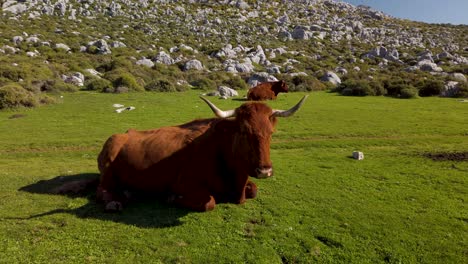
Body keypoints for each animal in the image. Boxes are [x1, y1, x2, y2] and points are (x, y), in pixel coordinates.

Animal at [89, 96, 308, 211]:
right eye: (244, 131)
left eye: (271, 133)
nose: (264, 171)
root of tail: (123, 133)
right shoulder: (184, 183)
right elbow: (209, 202)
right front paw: (172, 198)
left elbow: (254, 190)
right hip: (108, 166)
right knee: (101, 191)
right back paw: (115, 202)